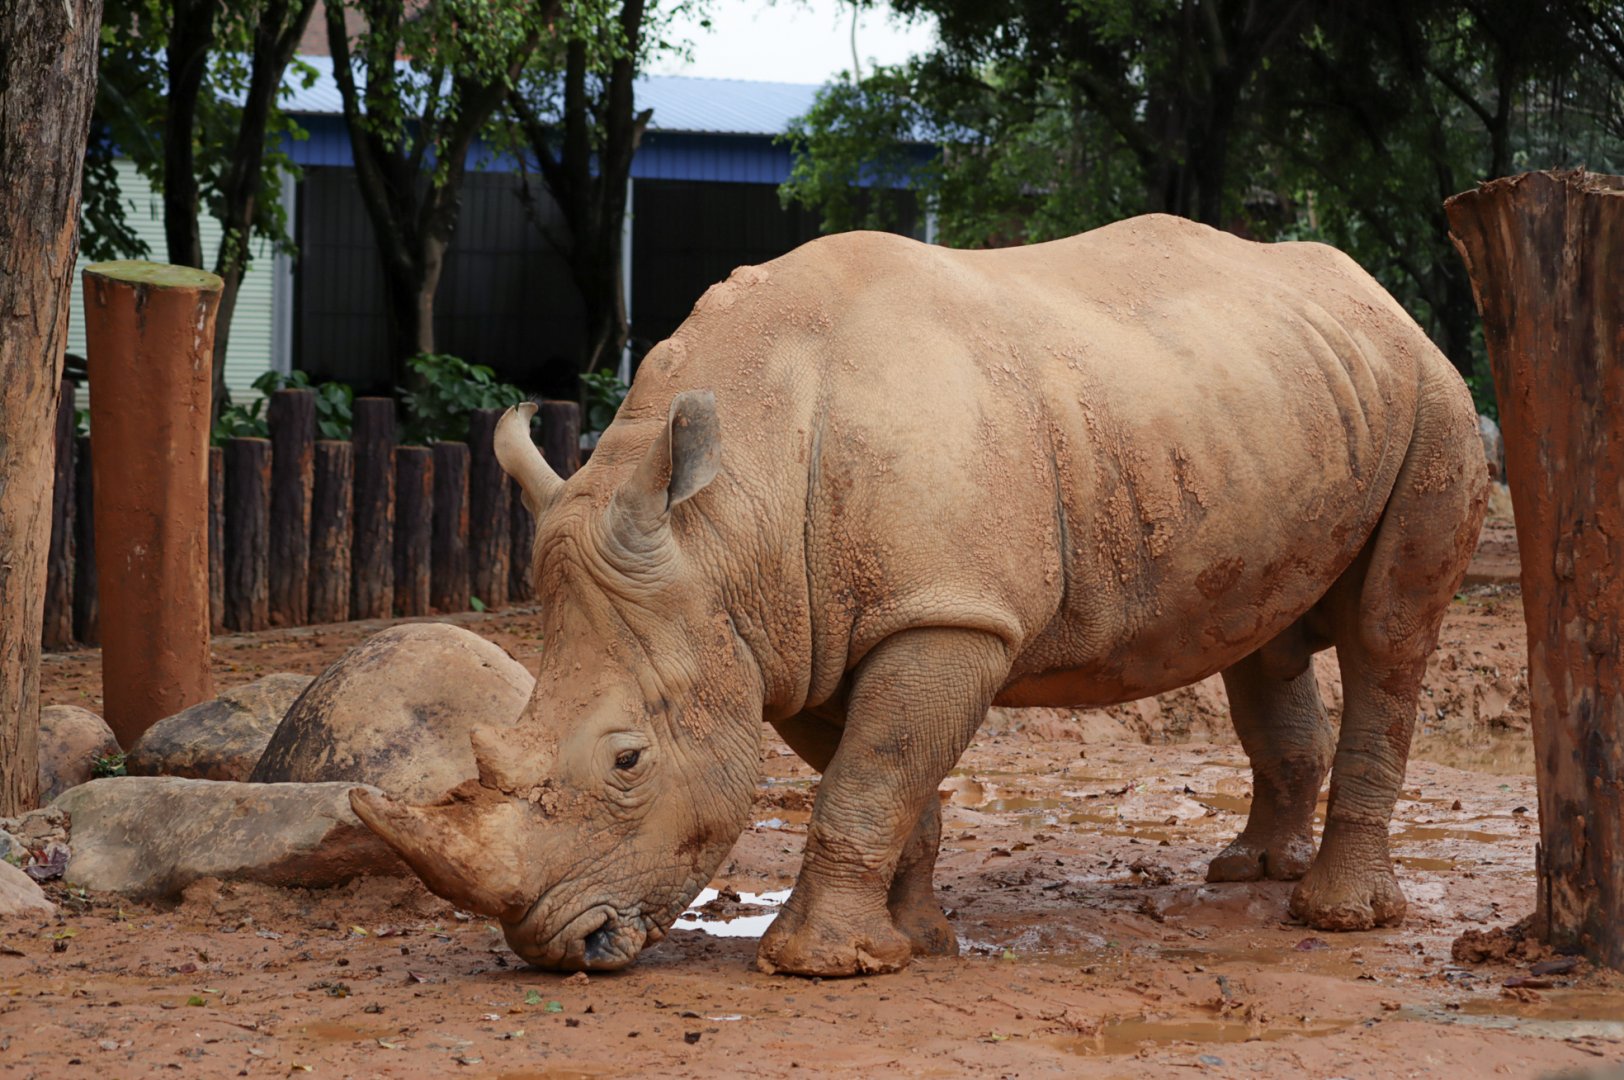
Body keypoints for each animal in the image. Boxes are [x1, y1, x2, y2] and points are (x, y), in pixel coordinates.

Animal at [352, 215, 1487, 977]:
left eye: (628, 762)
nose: (558, 946)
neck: (726, 529)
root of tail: (1381, 299)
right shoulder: (799, 634)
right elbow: (883, 776)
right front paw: (913, 941)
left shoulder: (945, 613)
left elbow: (874, 772)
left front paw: (815, 965)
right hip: (1272, 399)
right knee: (1262, 639)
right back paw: (1248, 872)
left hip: (1435, 398)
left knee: (1388, 635)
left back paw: (1334, 918)